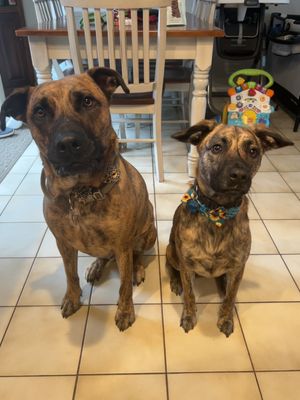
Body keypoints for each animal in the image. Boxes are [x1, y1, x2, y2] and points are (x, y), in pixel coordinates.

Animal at [1, 68, 157, 332]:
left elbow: (124, 285)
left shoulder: (122, 245)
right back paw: (96, 266)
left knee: (137, 256)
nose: (67, 143)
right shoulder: (63, 243)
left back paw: (136, 269)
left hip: (148, 233)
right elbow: (69, 274)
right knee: (103, 256)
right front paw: (72, 298)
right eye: (39, 112)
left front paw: (125, 310)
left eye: (87, 101)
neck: (80, 193)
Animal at [165, 120, 292, 336]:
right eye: (217, 147)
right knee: (173, 268)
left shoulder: (238, 267)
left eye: (253, 151)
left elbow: (231, 296)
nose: (239, 176)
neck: (218, 212)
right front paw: (189, 315)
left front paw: (226, 317)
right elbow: (190, 295)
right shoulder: (187, 266)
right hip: (172, 251)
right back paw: (175, 282)